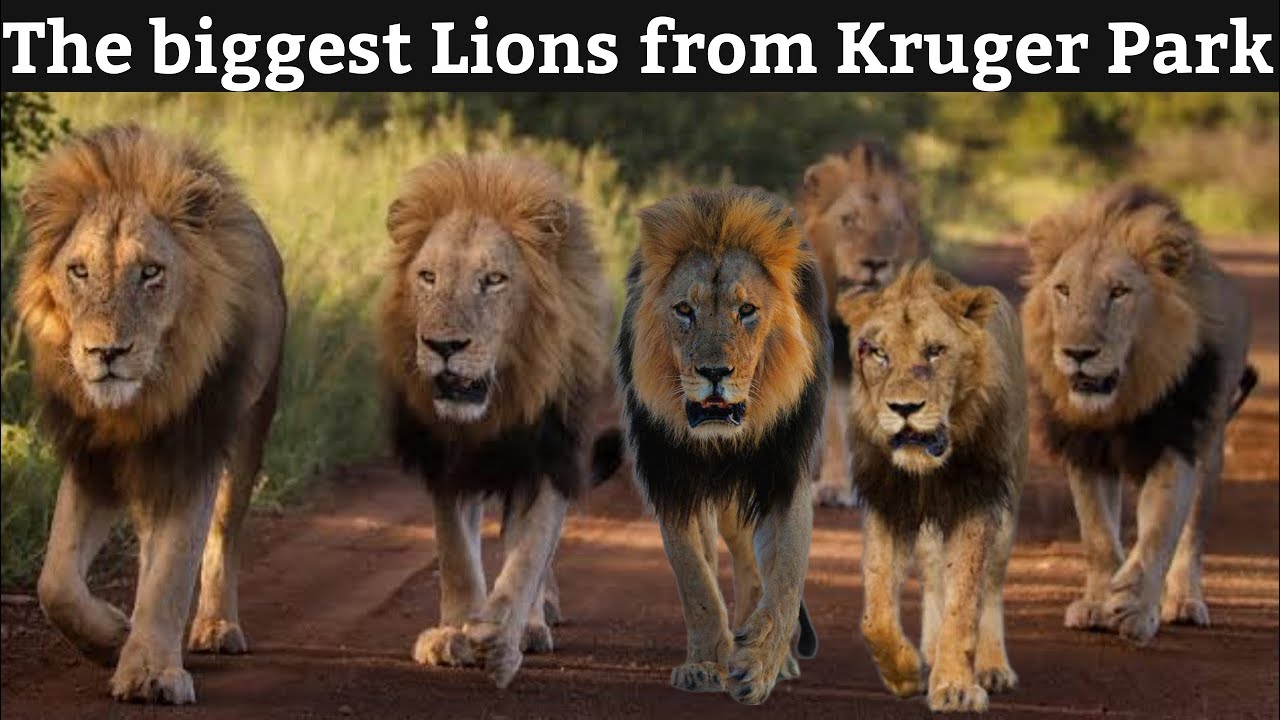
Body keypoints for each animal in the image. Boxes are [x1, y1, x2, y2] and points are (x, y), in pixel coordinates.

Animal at [16, 125, 286, 704]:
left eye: (151, 272)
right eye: (78, 271)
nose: (107, 352)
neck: (138, 404)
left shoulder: (192, 452)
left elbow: (175, 566)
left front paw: (151, 673)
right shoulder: (92, 458)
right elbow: (55, 583)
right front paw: (111, 637)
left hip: (250, 428)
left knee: (223, 532)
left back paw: (216, 627)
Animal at [379, 154, 621, 689]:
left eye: (493, 280)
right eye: (428, 277)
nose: (444, 346)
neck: (496, 406)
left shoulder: (549, 462)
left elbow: (527, 556)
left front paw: (500, 634)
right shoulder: (447, 463)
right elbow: (456, 555)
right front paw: (454, 634)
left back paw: (531, 623)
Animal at [614, 186, 826, 705]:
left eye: (746, 311)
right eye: (683, 311)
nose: (714, 373)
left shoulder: (783, 475)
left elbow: (785, 579)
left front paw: (759, 665)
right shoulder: (673, 482)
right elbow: (697, 582)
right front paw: (705, 663)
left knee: (756, 568)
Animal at [837, 261, 1026, 713]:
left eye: (936, 351)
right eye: (878, 353)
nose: (904, 408)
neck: (928, 471)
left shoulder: (977, 502)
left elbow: (965, 603)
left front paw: (955, 686)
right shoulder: (887, 504)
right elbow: (875, 614)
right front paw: (904, 673)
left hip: (1007, 506)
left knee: (991, 585)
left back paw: (991, 667)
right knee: (933, 576)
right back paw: (928, 650)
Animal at [1022, 183, 1256, 645]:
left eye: (1118, 292)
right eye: (1063, 290)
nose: (1077, 353)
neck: (1123, 398)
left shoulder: (1176, 444)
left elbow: (1158, 531)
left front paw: (1134, 605)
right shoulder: (1086, 451)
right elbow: (1097, 535)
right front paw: (1097, 603)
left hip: (1211, 447)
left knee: (1191, 534)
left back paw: (1184, 601)